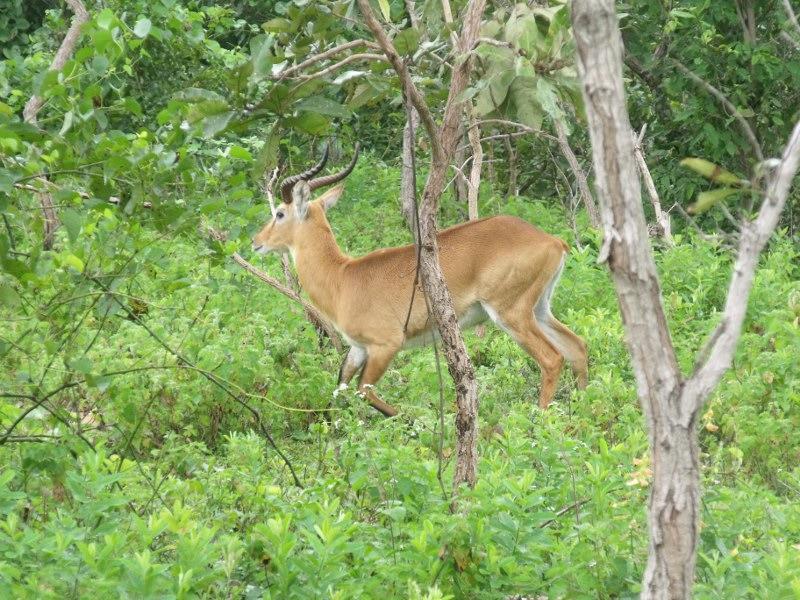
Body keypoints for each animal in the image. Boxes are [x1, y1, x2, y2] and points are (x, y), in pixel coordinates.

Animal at [253, 146, 592, 418]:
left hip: (510, 313)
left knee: (552, 358)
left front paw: (413, 421)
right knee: (577, 347)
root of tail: (552, 241)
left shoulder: (385, 345)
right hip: (540, 308)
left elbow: (365, 391)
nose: (256, 242)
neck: (342, 277)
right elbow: (342, 387)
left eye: (279, 213)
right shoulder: (358, 349)